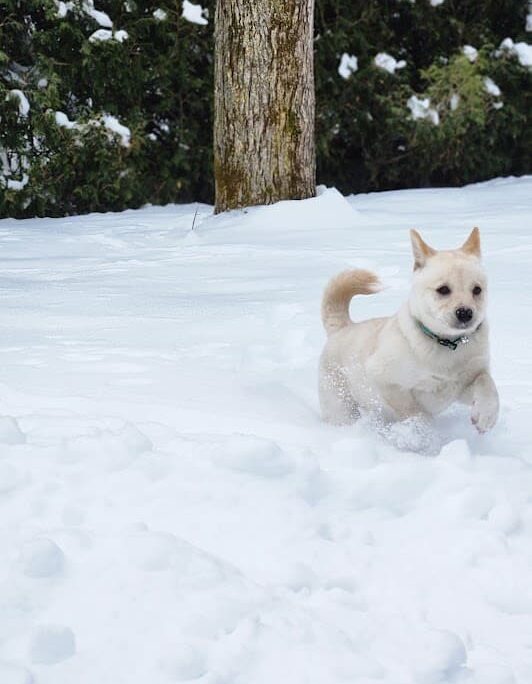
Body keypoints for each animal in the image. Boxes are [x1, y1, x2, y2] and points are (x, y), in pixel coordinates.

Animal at [320, 230, 498, 432]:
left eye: (477, 290)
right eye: (443, 289)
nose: (466, 313)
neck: (447, 344)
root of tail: (342, 327)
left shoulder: (463, 386)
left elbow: (487, 385)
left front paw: (486, 416)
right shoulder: (383, 378)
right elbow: (414, 411)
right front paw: (423, 432)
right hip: (341, 407)